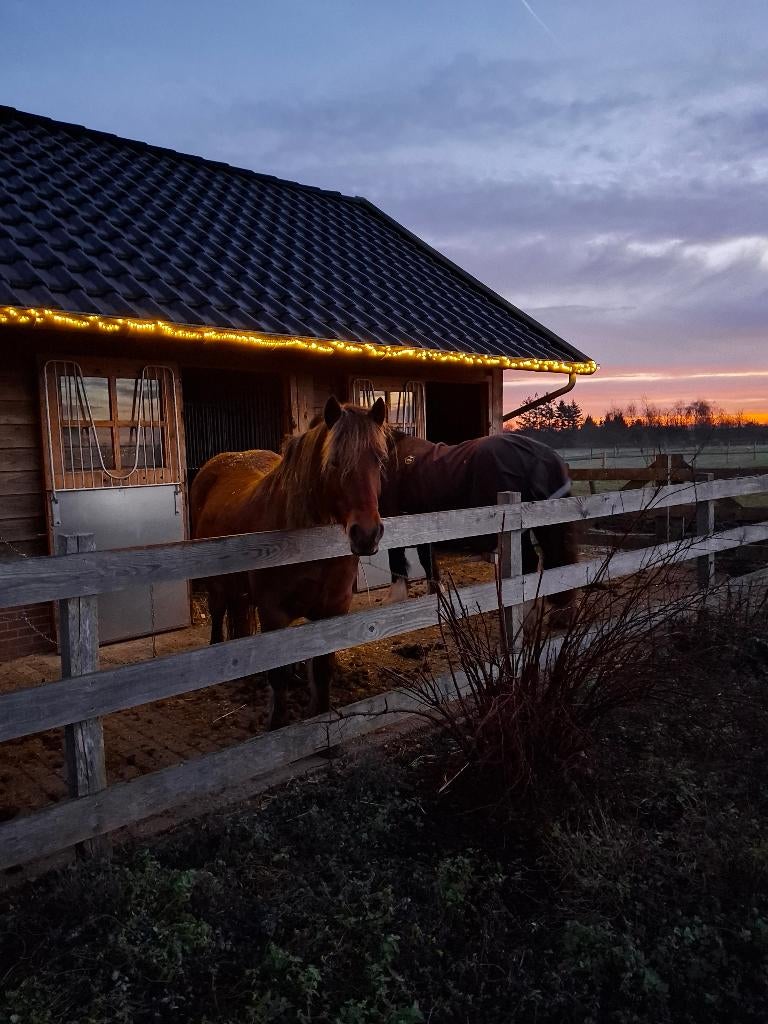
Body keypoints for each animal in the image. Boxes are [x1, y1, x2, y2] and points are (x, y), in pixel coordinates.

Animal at [190, 395, 388, 729]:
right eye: (333, 461)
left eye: (378, 460)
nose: (367, 535)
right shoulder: (273, 611)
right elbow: (278, 675)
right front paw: (278, 724)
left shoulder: (334, 609)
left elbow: (321, 670)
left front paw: (321, 717)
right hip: (217, 583)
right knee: (218, 612)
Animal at [382, 431, 577, 606]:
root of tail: (543, 458)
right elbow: (427, 560)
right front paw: (436, 594)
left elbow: (397, 560)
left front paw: (396, 598)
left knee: (531, 562)